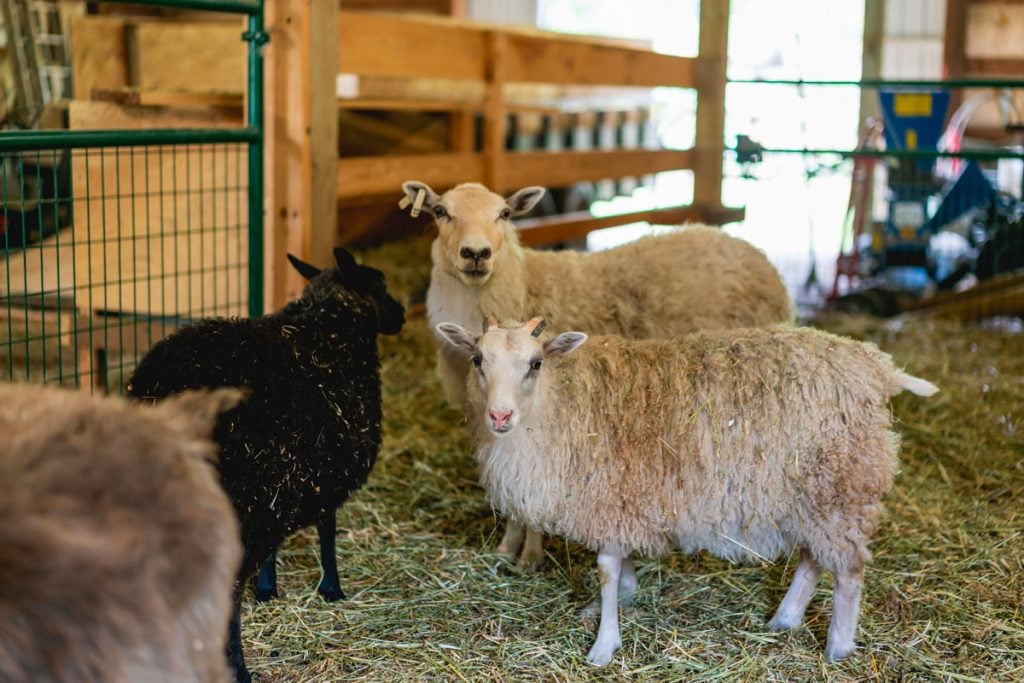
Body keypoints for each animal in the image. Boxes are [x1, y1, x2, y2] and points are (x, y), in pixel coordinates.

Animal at [125, 246, 401, 683]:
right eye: (380, 284)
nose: (403, 314)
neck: (331, 322)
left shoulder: (284, 484)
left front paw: (269, 588)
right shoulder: (321, 474)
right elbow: (327, 529)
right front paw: (332, 587)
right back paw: (236, 668)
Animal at [432, 319, 937, 667]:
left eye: (535, 363)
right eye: (478, 360)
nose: (499, 416)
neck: (560, 401)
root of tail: (877, 366)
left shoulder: (610, 495)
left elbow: (606, 570)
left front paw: (604, 644)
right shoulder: (621, 501)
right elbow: (619, 566)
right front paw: (616, 601)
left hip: (843, 484)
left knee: (849, 570)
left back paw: (837, 647)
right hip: (811, 492)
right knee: (814, 558)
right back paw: (785, 619)